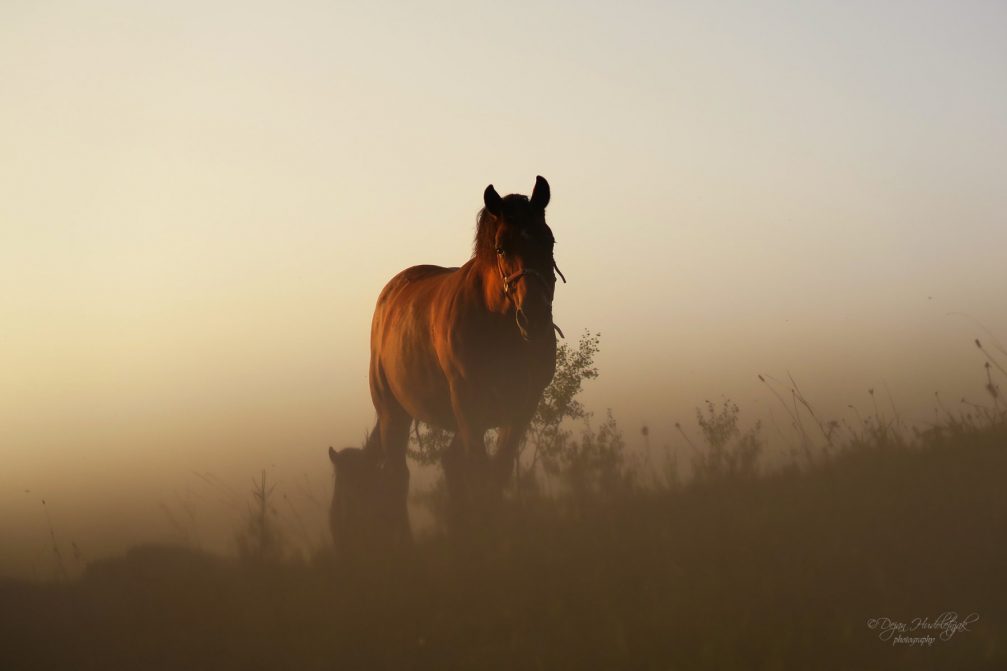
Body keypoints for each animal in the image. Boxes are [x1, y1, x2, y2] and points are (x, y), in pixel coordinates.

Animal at [332, 173, 563, 540]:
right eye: (501, 247)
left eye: (549, 242)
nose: (535, 317)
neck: (498, 328)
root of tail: (391, 294)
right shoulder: (468, 405)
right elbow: (478, 472)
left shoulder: (521, 408)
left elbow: (495, 473)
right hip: (393, 413)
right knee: (398, 475)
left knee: (446, 467)